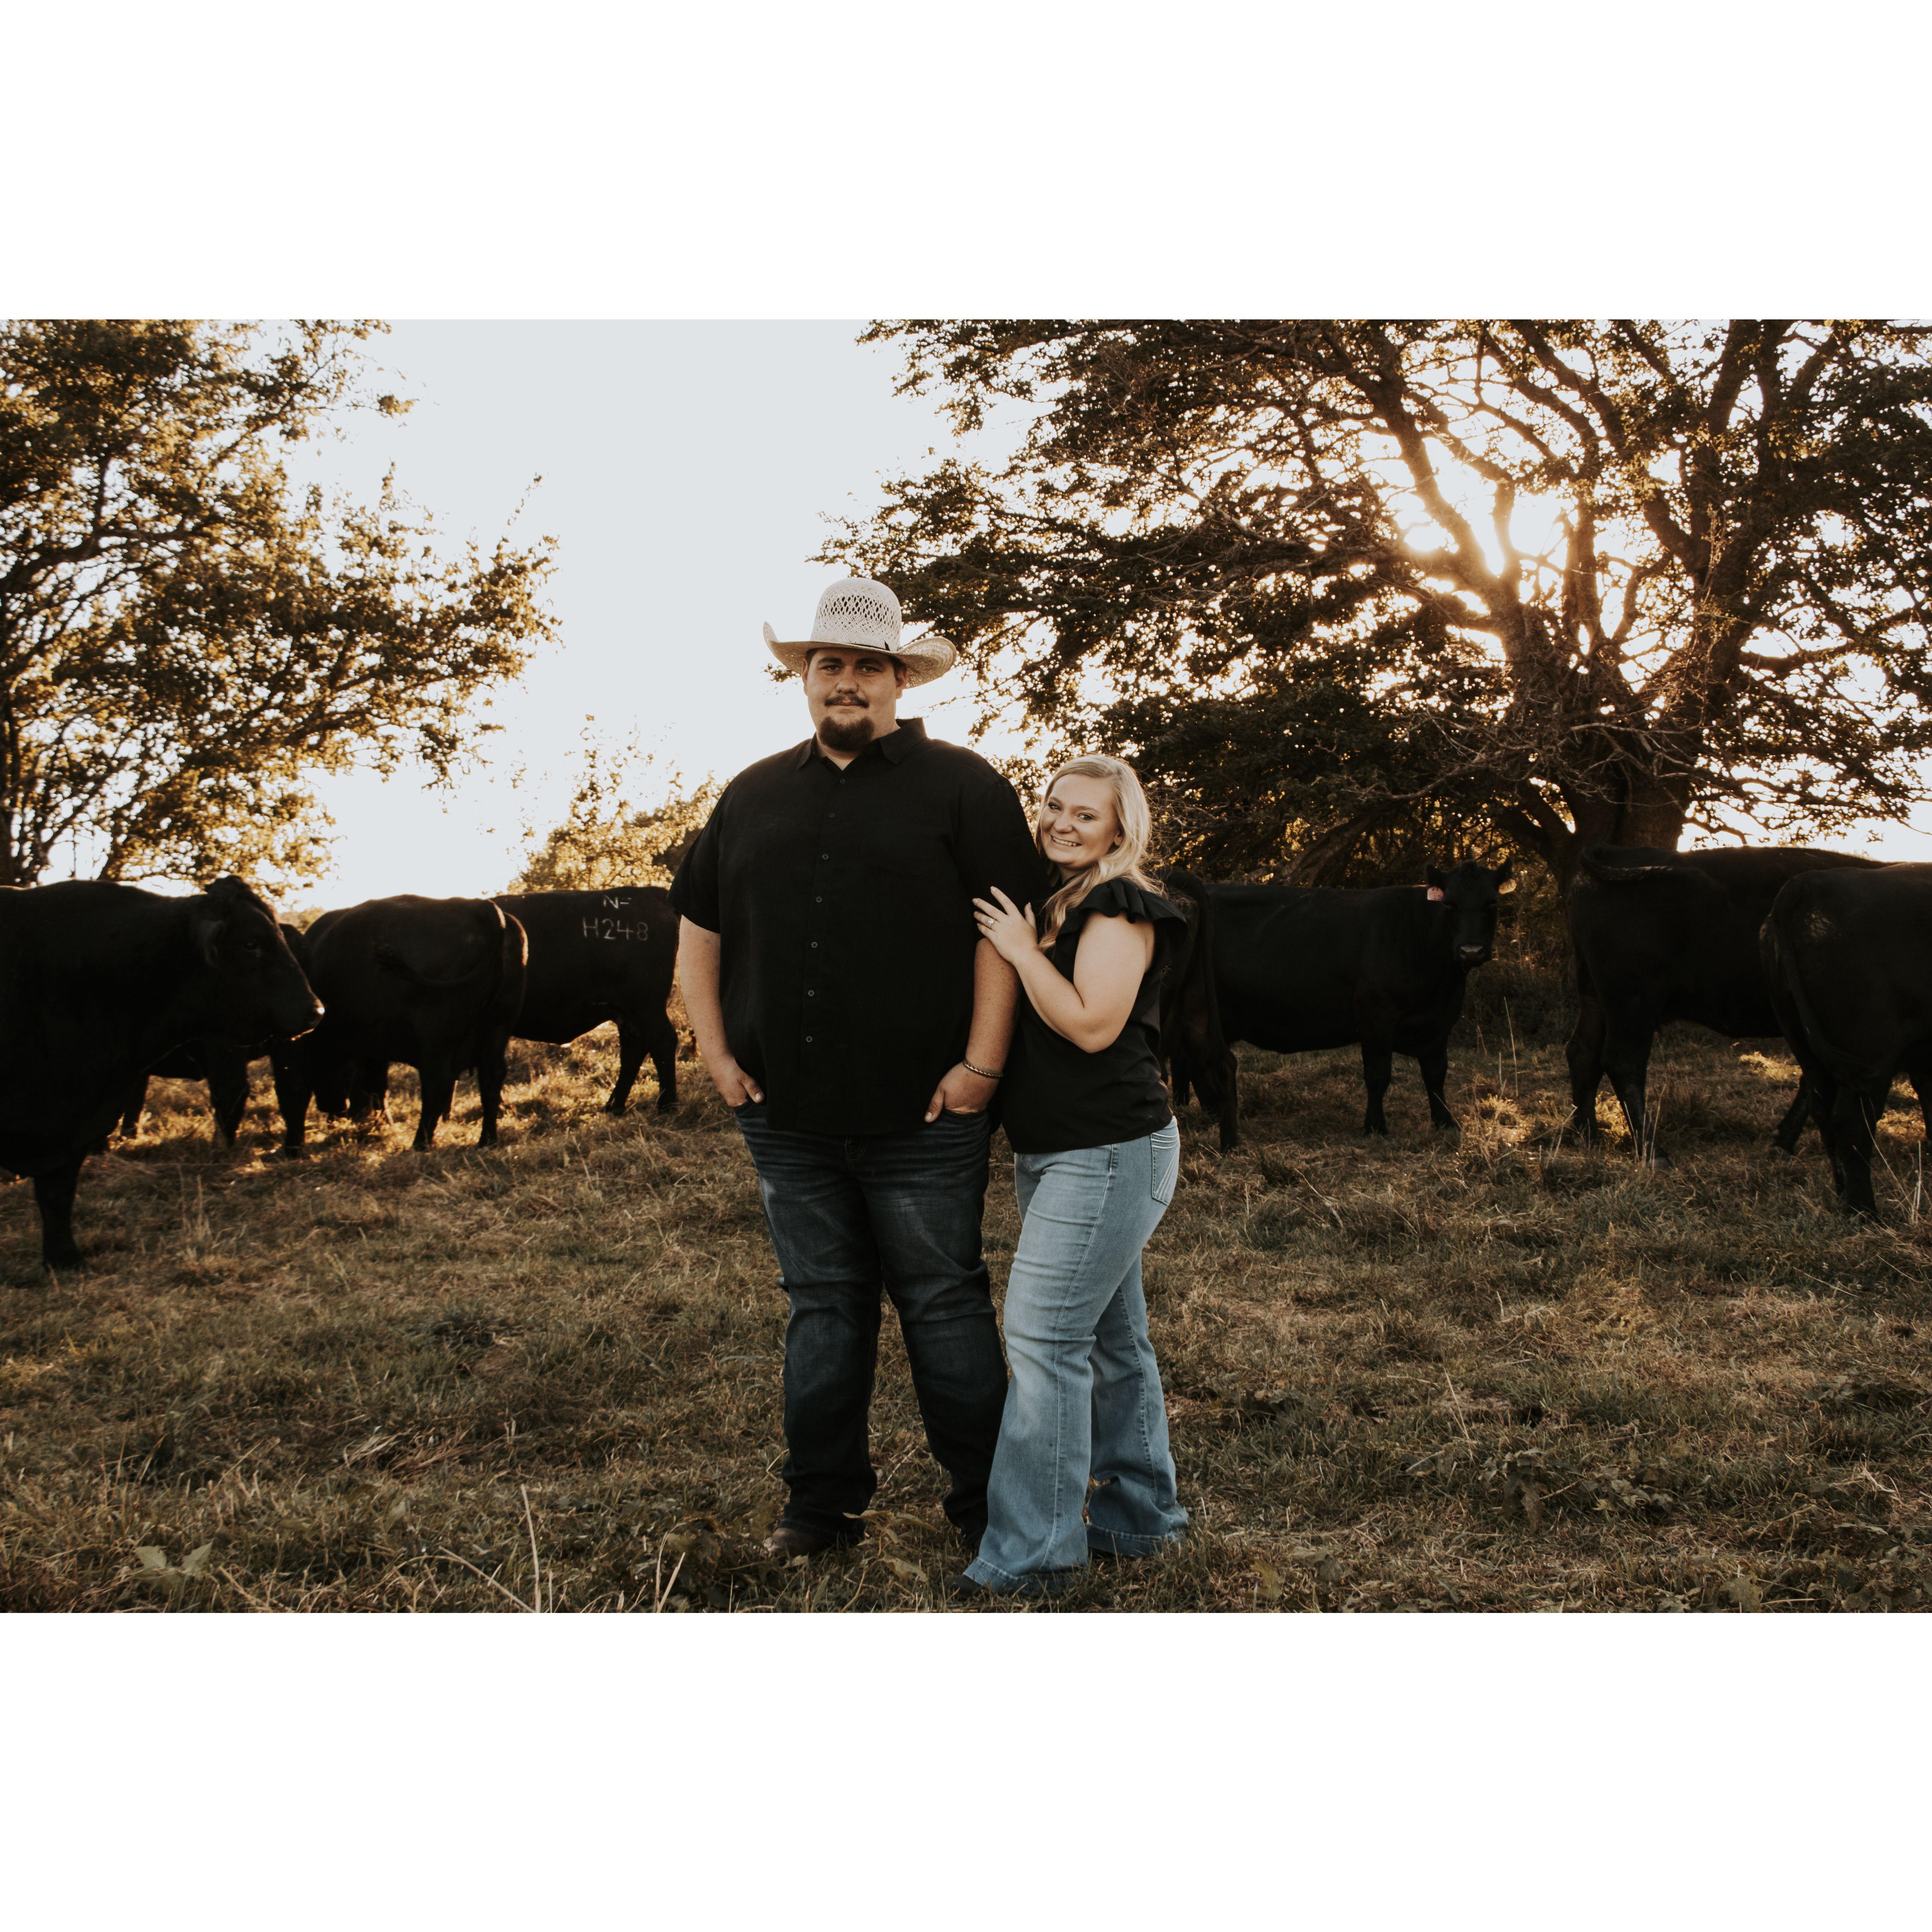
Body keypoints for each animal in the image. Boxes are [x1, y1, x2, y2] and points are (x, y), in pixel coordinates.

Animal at [272, 895, 527, 1154]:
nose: (333, 1107)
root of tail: (482, 908)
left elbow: (295, 1094)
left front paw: (293, 1146)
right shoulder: (373, 1050)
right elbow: (376, 1085)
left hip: (436, 1036)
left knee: (438, 1083)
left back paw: (420, 1143)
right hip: (496, 1028)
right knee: (491, 1078)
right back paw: (487, 1141)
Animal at [493, 886, 679, 1114]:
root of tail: (655, 894)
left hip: (646, 1006)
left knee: (662, 1041)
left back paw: (666, 1107)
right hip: (628, 1013)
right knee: (635, 1049)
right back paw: (613, 1106)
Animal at [1162, 861, 1515, 1151]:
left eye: (1492, 903)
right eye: (1449, 904)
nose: (1471, 951)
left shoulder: (1440, 1020)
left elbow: (1436, 1074)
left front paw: (1445, 1122)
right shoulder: (1376, 1016)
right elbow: (1378, 1074)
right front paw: (1375, 1127)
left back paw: (1209, 1112)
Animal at [1565, 844, 1883, 1166]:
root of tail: (1614, 853)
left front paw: (1781, 1143)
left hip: (1596, 997)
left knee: (1583, 1052)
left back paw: (1584, 1136)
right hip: (1634, 1001)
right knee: (1623, 1062)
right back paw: (1653, 1152)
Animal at [1761, 863, 1932, 1218]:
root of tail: (1807, 883)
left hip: (1807, 1048)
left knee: (1823, 1111)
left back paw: (1843, 1196)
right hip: (1869, 1054)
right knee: (1852, 1123)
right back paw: (1862, 1211)